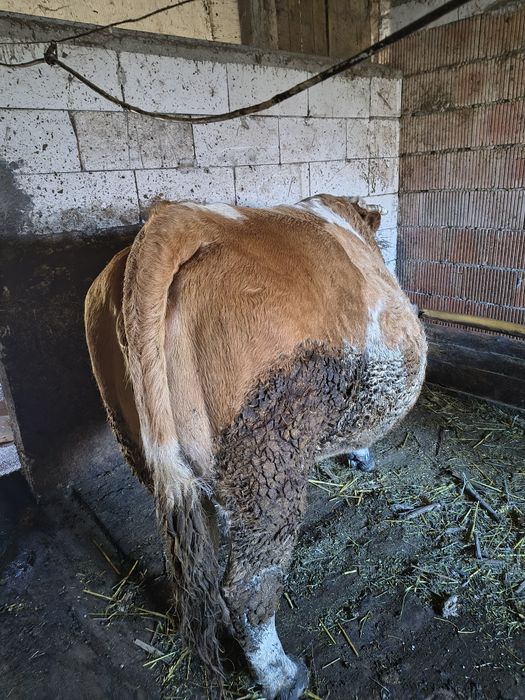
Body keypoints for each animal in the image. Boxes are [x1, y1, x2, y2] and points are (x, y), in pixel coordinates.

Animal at [84, 194, 427, 699]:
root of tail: (179, 217)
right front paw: (361, 455)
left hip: (150, 448)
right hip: (266, 457)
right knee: (249, 584)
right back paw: (282, 675)